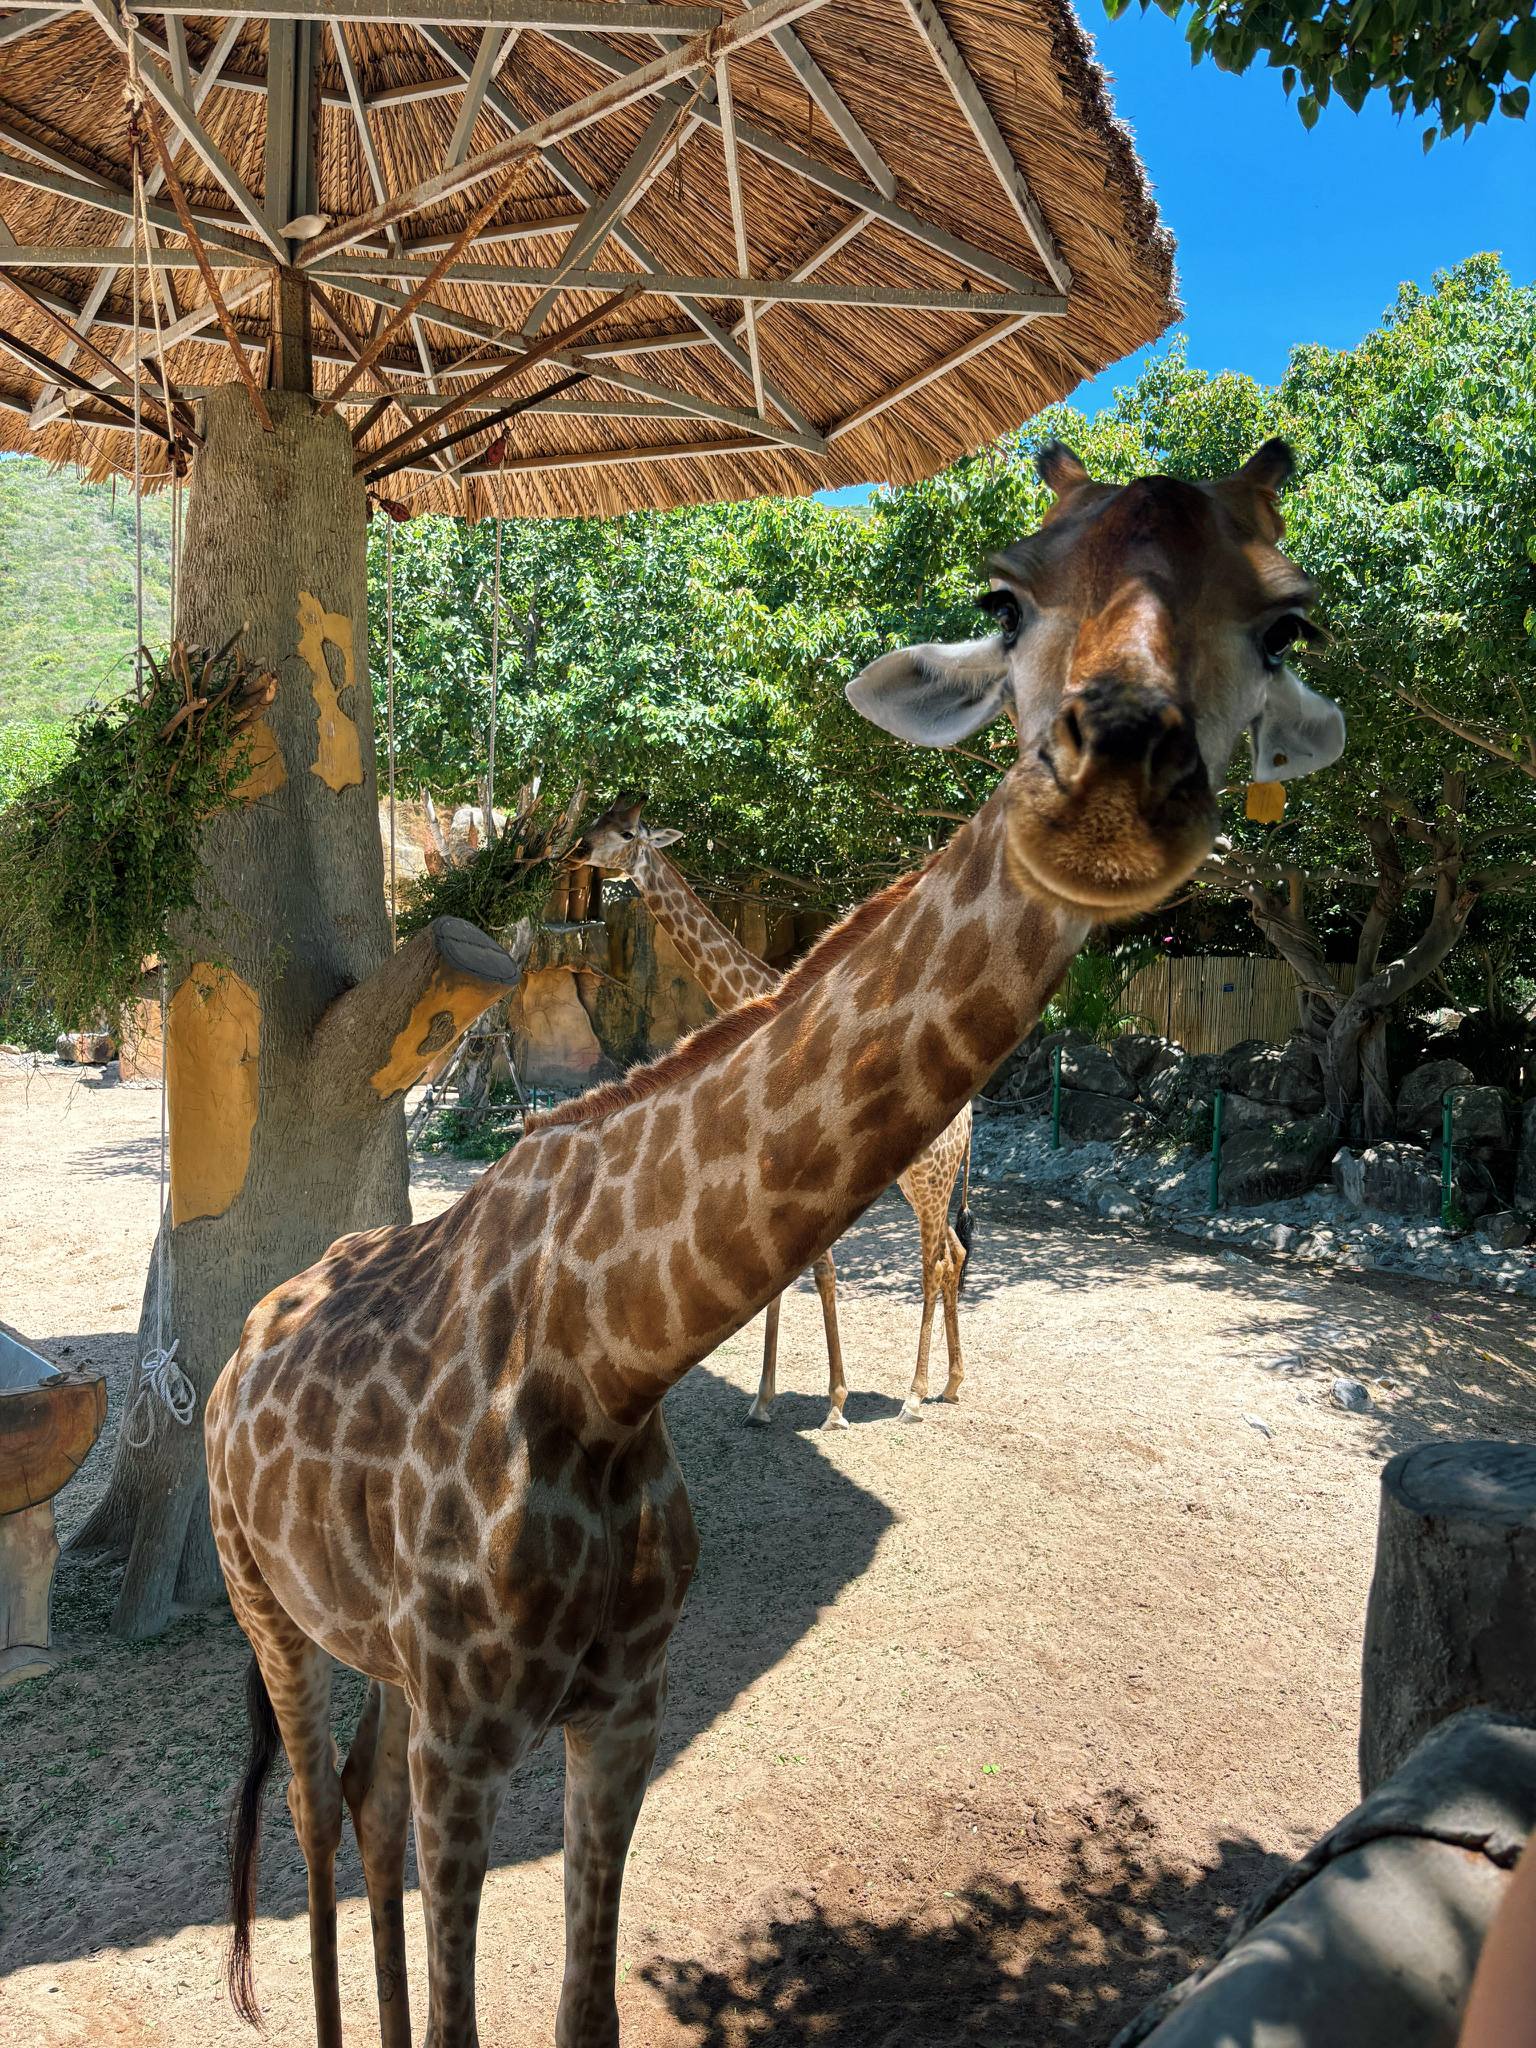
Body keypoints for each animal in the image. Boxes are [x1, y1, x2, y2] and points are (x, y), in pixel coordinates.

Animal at [571, 797, 974, 1426]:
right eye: (597, 819)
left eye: (628, 832)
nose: (580, 851)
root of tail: (972, 1118)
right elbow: (781, 1279)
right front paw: (763, 1400)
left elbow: (821, 1272)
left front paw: (834, 1404)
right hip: (925, 1179)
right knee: (953, 1254)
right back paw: (953, 1383)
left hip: (929, 1175)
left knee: (932, 1263)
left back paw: (914, 1396)